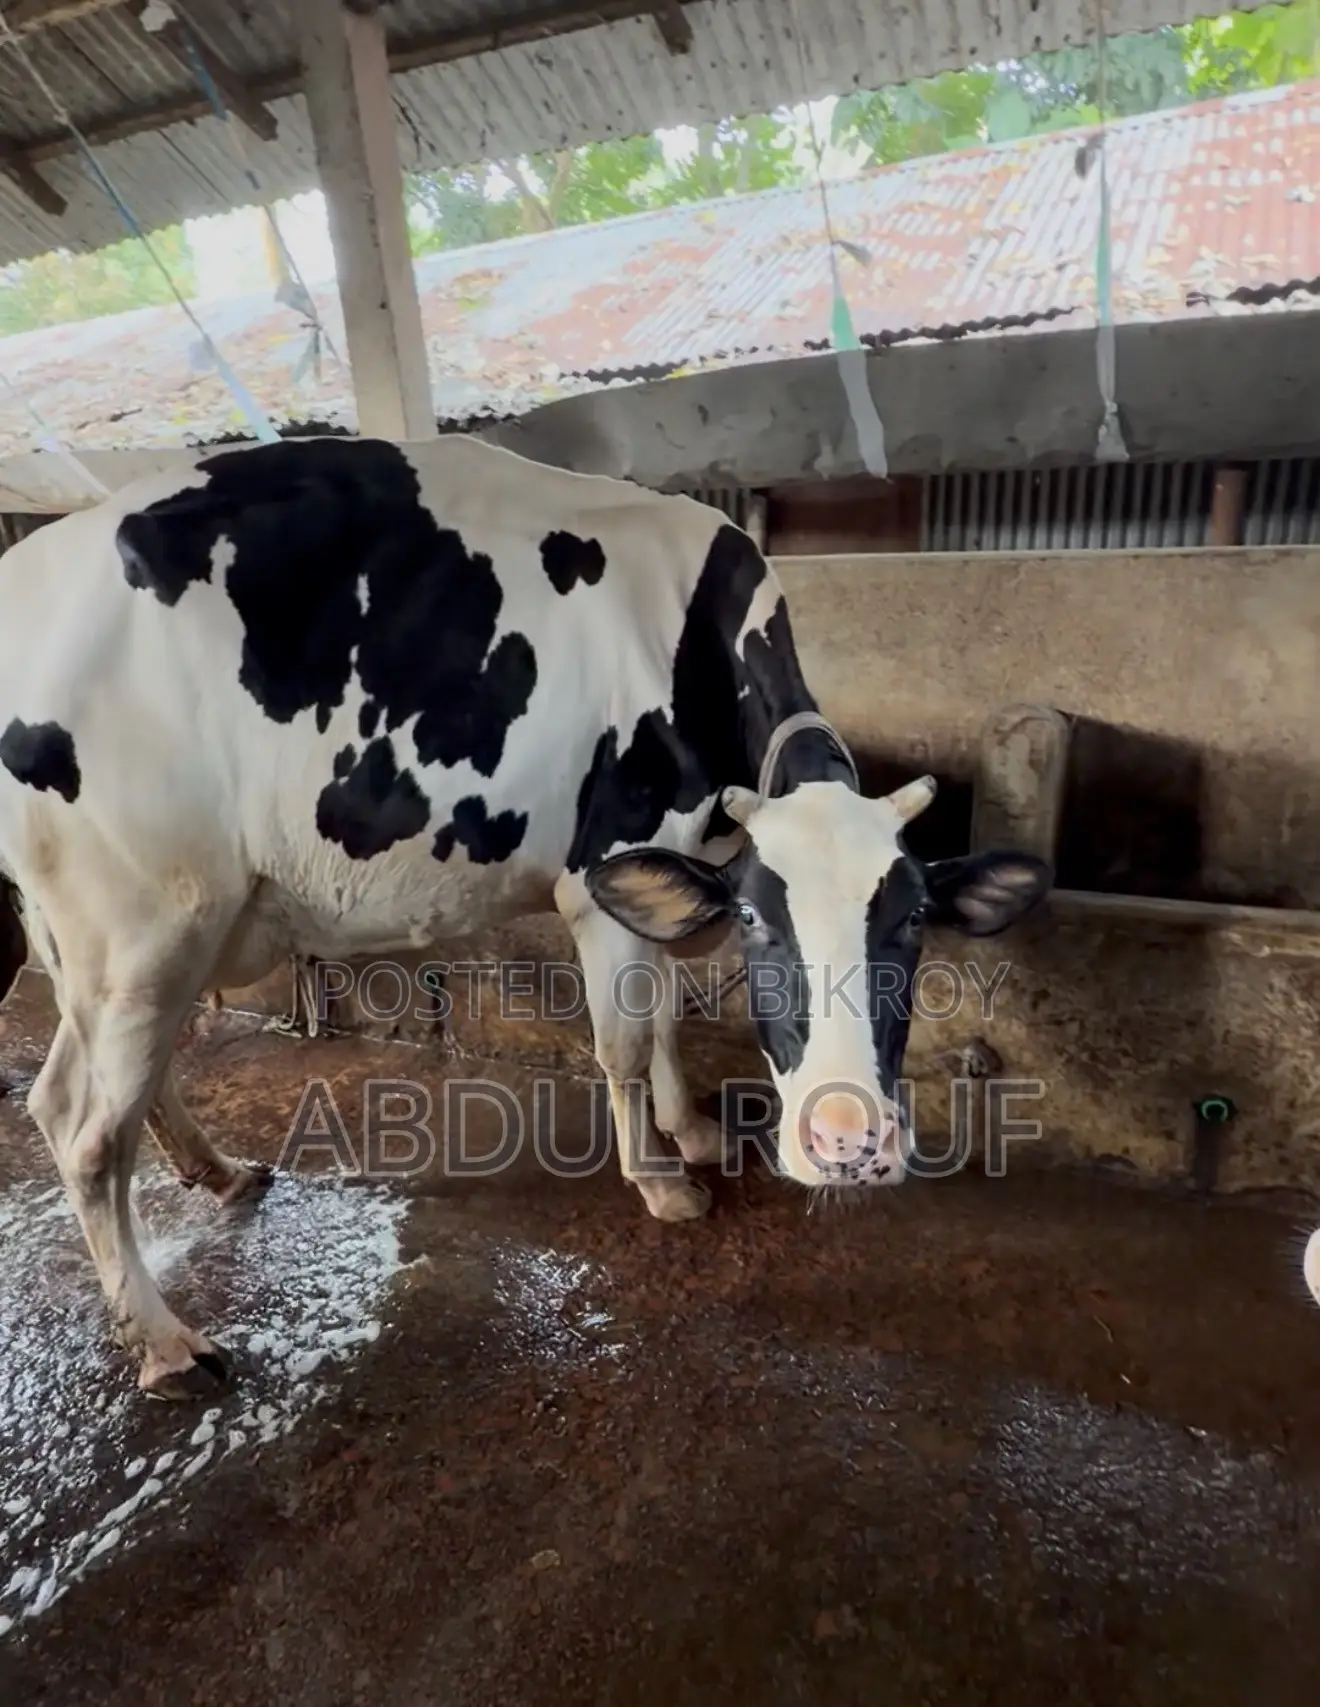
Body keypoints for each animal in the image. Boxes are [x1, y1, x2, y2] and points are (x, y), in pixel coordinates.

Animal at [0, 435, 1051, 1398]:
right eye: (760, 923)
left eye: (912, 921)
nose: (851, 1141)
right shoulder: (604, 866)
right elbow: (623, 1039)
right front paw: (662, 1182)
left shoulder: (664, 859)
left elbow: (663, 1015)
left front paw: (692, 1129)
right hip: (145, 922)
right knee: (88, 1134)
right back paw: (169, 1344)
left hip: (114, 942)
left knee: (74, 1090)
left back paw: (219, 1174)